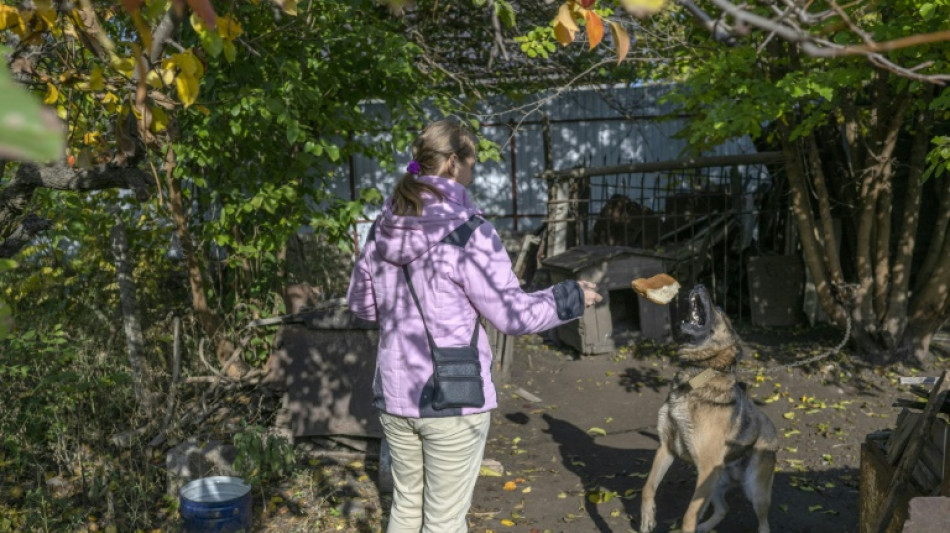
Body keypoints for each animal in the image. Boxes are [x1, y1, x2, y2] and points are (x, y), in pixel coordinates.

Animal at [644, 284, 776, 532]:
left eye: (720, 309)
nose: (700, 285)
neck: (696, 378)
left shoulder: (705, 467)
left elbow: (688, 516)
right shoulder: (666, 448)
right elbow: (648, 486)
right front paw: (647, 517)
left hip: (754, 490)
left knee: (764, 523)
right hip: (713, 483)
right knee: (723, 509)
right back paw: (705, 526)